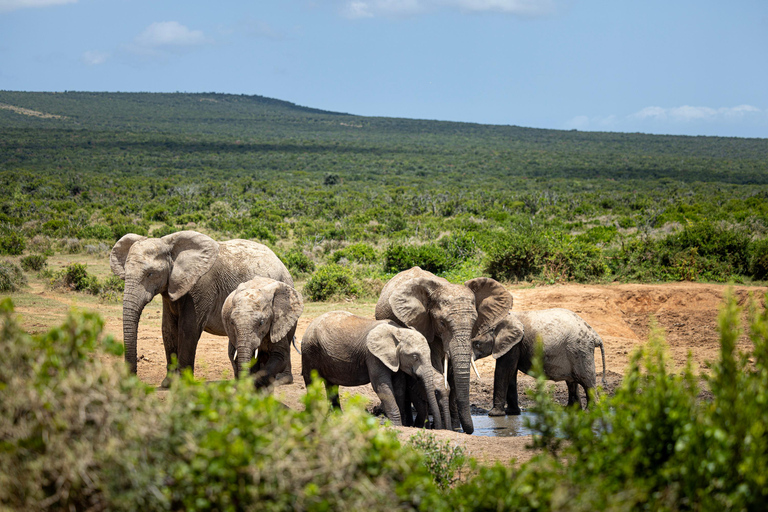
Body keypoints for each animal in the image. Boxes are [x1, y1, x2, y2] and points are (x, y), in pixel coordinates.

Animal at [110, 230, 294, 387]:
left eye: (150, 274)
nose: (133, 379)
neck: (170, 246)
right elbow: (168, 329)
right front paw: (167, 384)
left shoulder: (201, 286)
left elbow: (188, 329)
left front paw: (183, 384)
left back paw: (281, 381)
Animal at [301, 311, 451, 429]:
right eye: (415, 357)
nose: (437, 427)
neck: (398, 331)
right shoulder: (372, 355)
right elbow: (382, 386)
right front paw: (397, 426)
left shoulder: (394, 359)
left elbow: (399, 387)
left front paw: (401, 425)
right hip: (309, 350)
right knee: (311, 381)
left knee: (331, 385)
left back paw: (337, 417)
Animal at [375, 267, 513, 434]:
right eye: (442, 323)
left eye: (474, 322)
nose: (469, 430)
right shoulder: (425, 325)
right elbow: (436, 364)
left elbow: (452, 372)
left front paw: (455, 428)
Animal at [471, 308, 607, 416]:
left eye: (477, 343)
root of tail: (595, 335)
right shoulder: (513, 344)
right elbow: (511, 372)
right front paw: (512, 413)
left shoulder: (514, 344)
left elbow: (504, 371)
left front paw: (494, 415)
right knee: (572, 381)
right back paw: (571, 411)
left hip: (581, 350)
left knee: (587, 381)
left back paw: (590, 412)